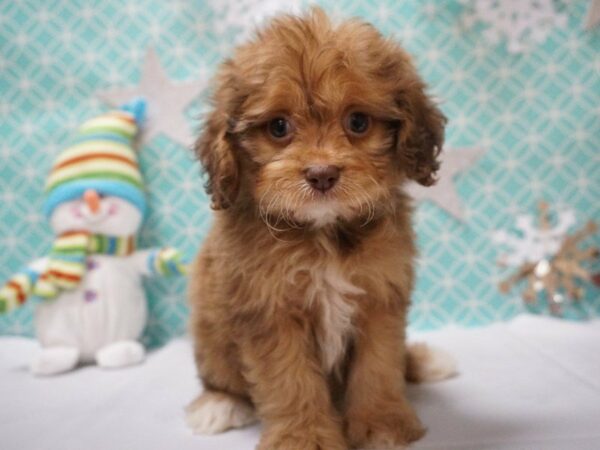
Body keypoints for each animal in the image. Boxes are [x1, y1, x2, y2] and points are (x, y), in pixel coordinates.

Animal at [185, 7, 452, 450]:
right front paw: (305, 436)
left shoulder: (381, 295)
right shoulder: (269, 309)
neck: (323, 232)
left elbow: (379, 365)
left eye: (358, 122)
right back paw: (218, 404)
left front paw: (382, 423)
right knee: (220, 375)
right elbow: (291, 381)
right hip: (209, 335)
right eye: (278, 127)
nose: (322, 174)